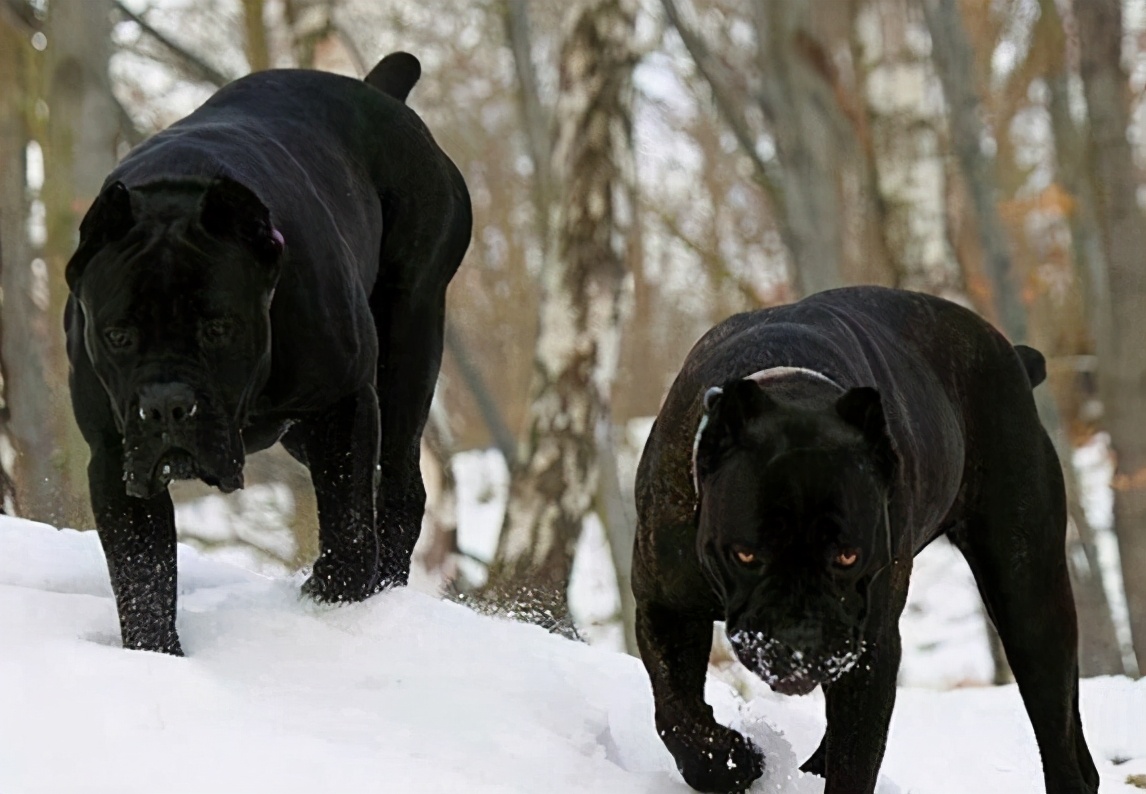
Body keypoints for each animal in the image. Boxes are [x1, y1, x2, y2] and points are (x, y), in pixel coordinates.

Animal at [67, 52, 472, 655]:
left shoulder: (344, 403)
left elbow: (350, 525)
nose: (165, 405)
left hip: (408, 345)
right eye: (118, 335)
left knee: (402, 489)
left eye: (218, 328)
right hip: (303, 429)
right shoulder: (115, 454)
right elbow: (143, 578)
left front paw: (333, 594)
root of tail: (382, 92)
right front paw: (157, 657)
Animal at [632, 286, 1095, 792]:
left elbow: (853, 760)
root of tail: (1012, 356)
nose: (800, 640)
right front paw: (733, 761)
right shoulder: (664, 606)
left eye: (848, 556)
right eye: (747, 554)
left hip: (1027, 594)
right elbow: (676, 714)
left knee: (1057, 731)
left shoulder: (872, 652)